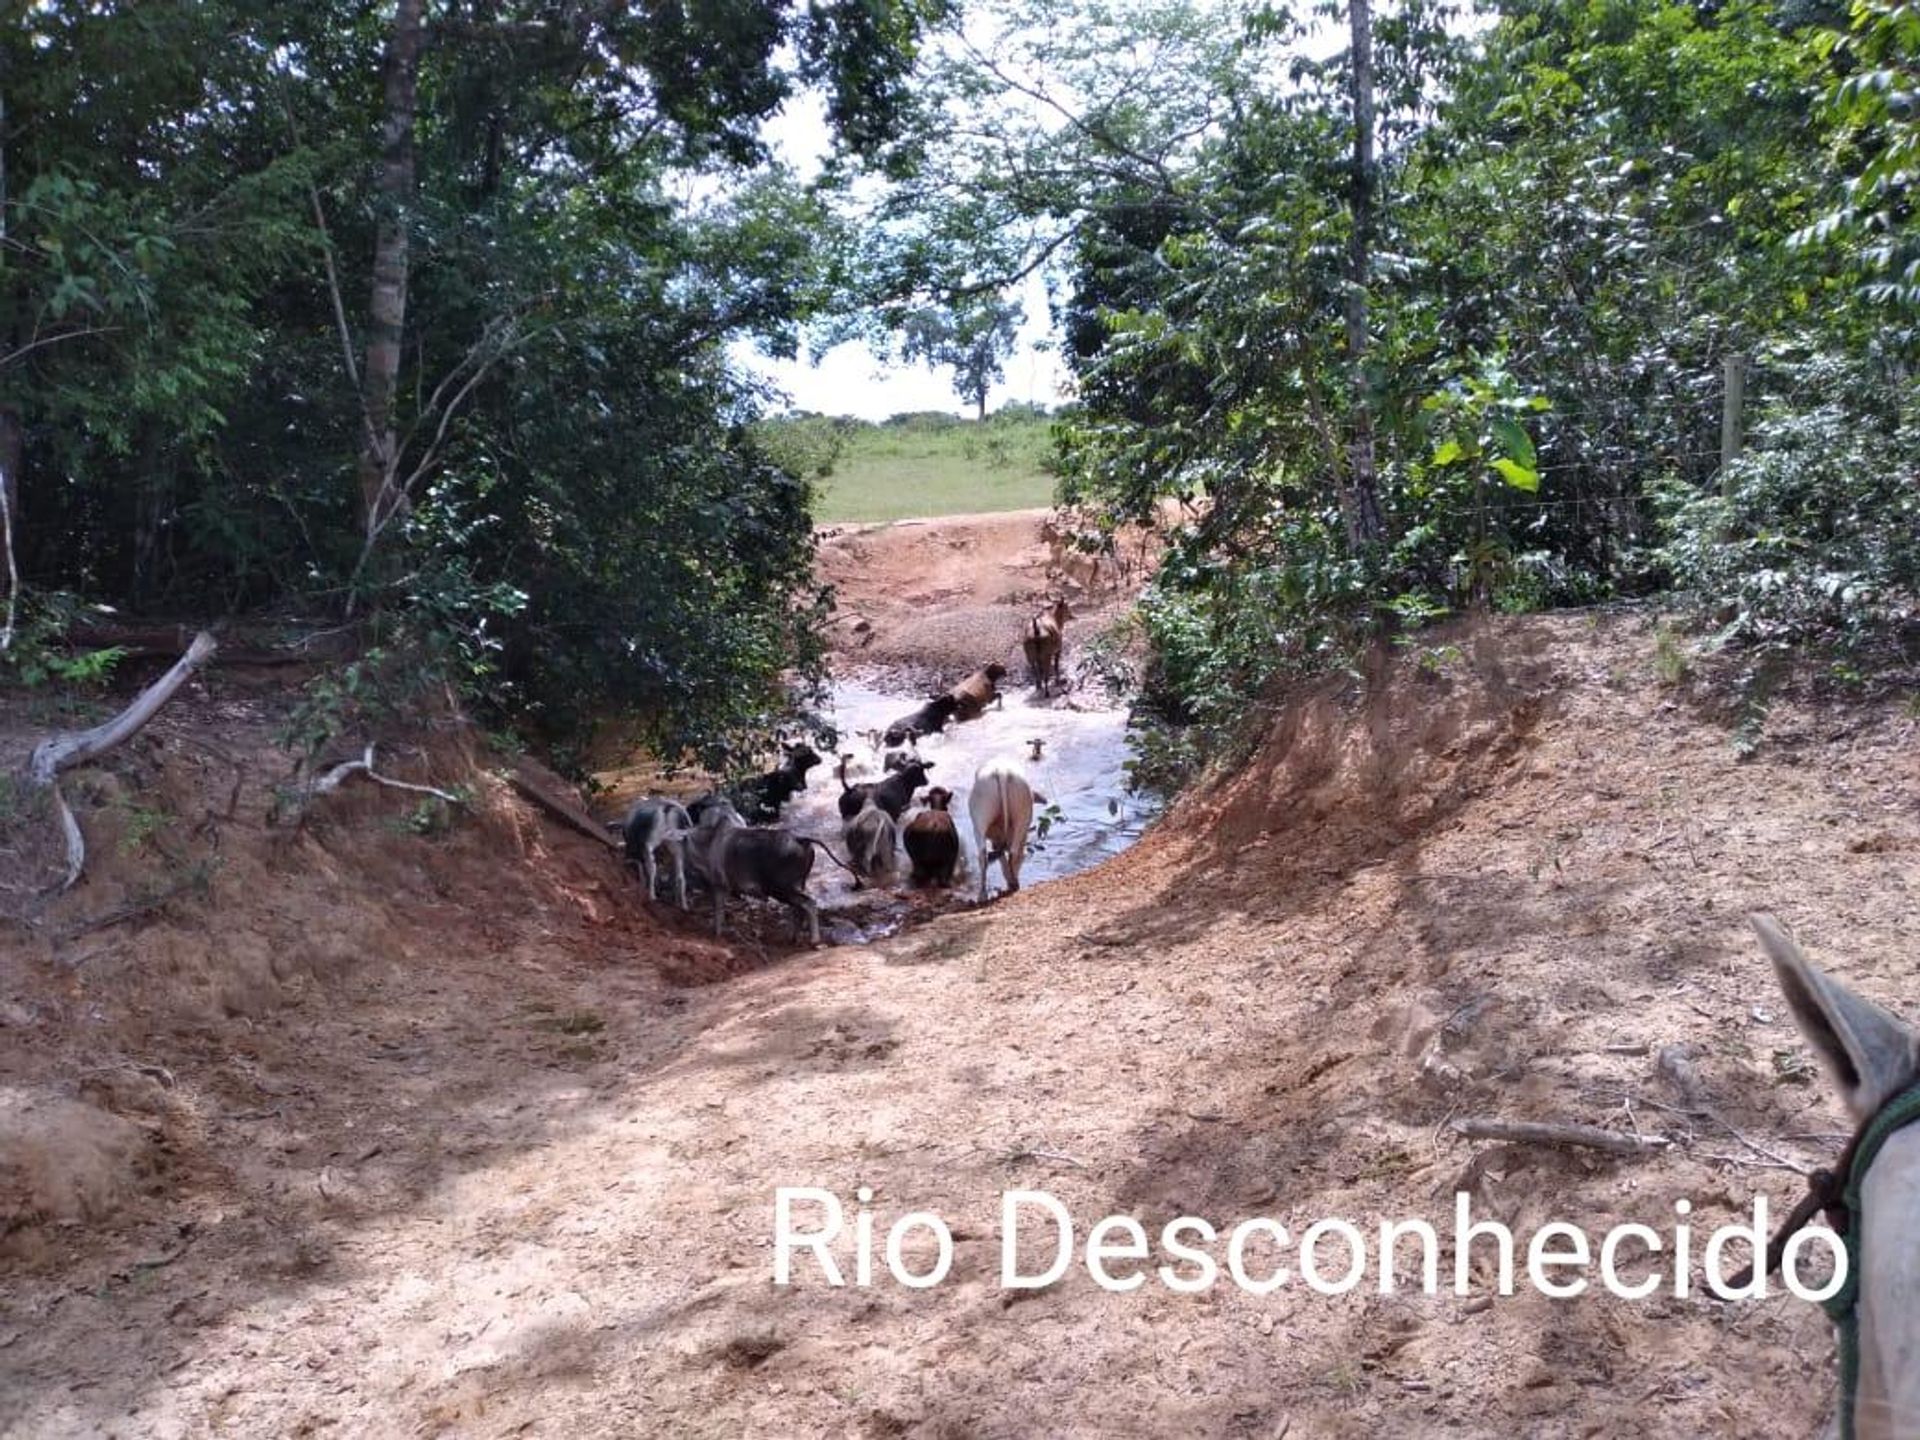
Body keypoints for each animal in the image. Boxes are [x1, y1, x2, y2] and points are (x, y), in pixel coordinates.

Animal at [967, 756, 1029, 902]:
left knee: (983, 855)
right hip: (1021, 818)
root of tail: (1002, 772)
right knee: (1013, 852)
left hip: (980, 820)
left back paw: (983, 894)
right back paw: (1013, 885)